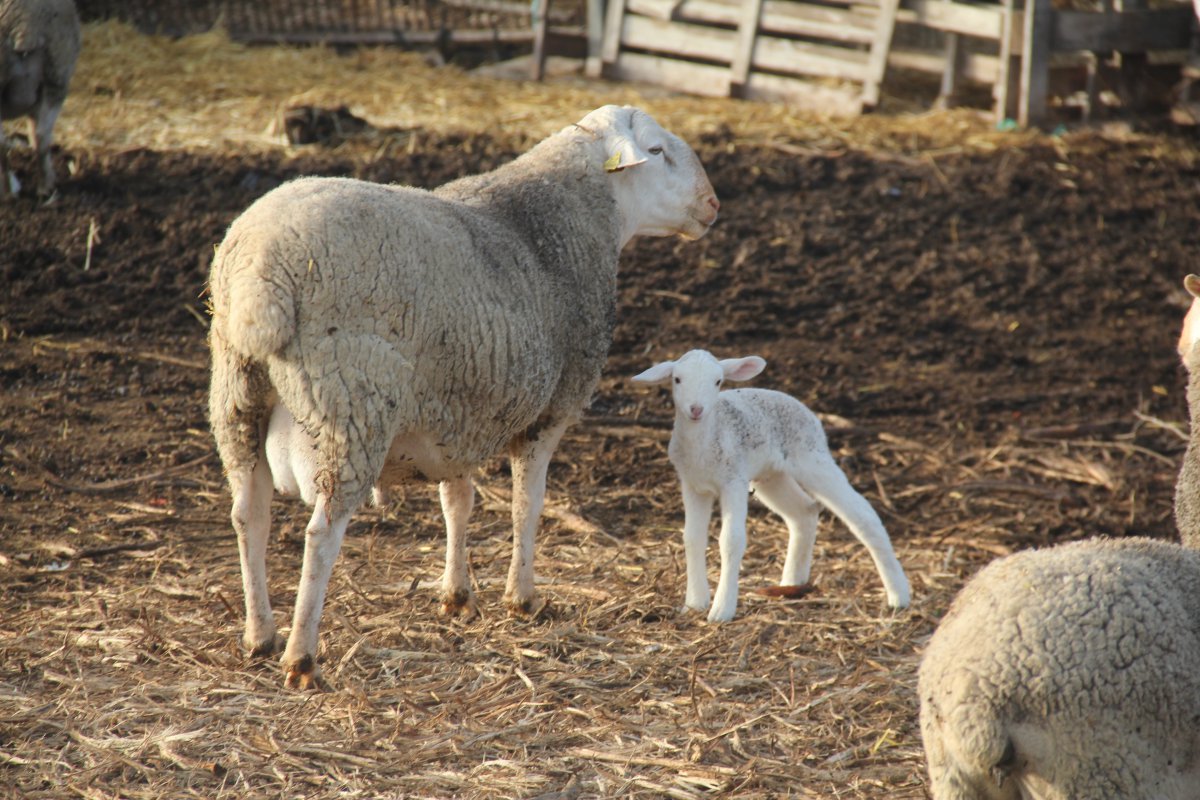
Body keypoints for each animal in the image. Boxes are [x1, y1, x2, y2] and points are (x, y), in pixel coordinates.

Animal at [206, 103, 715, 690]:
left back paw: (259, 635)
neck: (569, 216)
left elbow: (458, 502)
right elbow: (527, 506)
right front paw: (523, 598)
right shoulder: (551, 409)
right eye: (656, 151)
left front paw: (457, 595)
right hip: (350, 405)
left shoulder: (458, 409)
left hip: (236, 397)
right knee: (321, 534)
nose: (712, 204)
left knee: (249, 516)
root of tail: (258, 276)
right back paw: (301, 656)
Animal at [633, 347, 902, 623]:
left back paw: (899, 594)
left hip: (812, 457)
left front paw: (722, 610)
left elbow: (731, 540)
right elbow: (692, 538)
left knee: (862, 514)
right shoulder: (692, 484)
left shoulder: (734, 480)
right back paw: (792, 583)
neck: (703, 444)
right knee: (804, 511)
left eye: (718, 381)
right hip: (772, 476)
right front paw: (694, 603)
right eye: (677, 379)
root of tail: (806, 410)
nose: (696, 409)